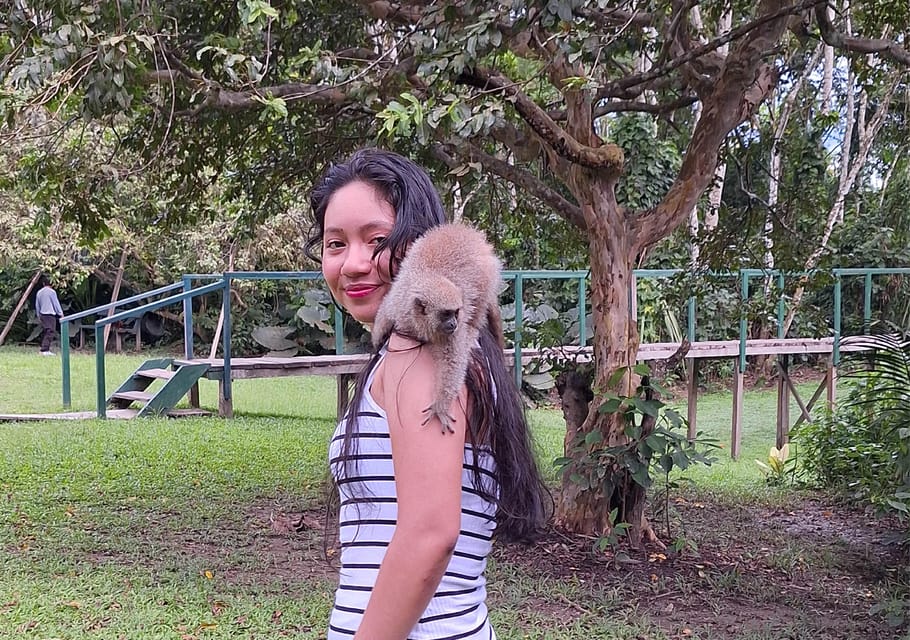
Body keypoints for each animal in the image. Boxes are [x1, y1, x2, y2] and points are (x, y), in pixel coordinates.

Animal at [372, 223, 502, 434]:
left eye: (455, 313)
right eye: (446, 314)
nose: (454, 323)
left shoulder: (452, 333)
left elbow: (453, 361)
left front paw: (441, 404)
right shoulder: (398, 306)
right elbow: (384, 313)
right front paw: (377, 337)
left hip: (487, 272)